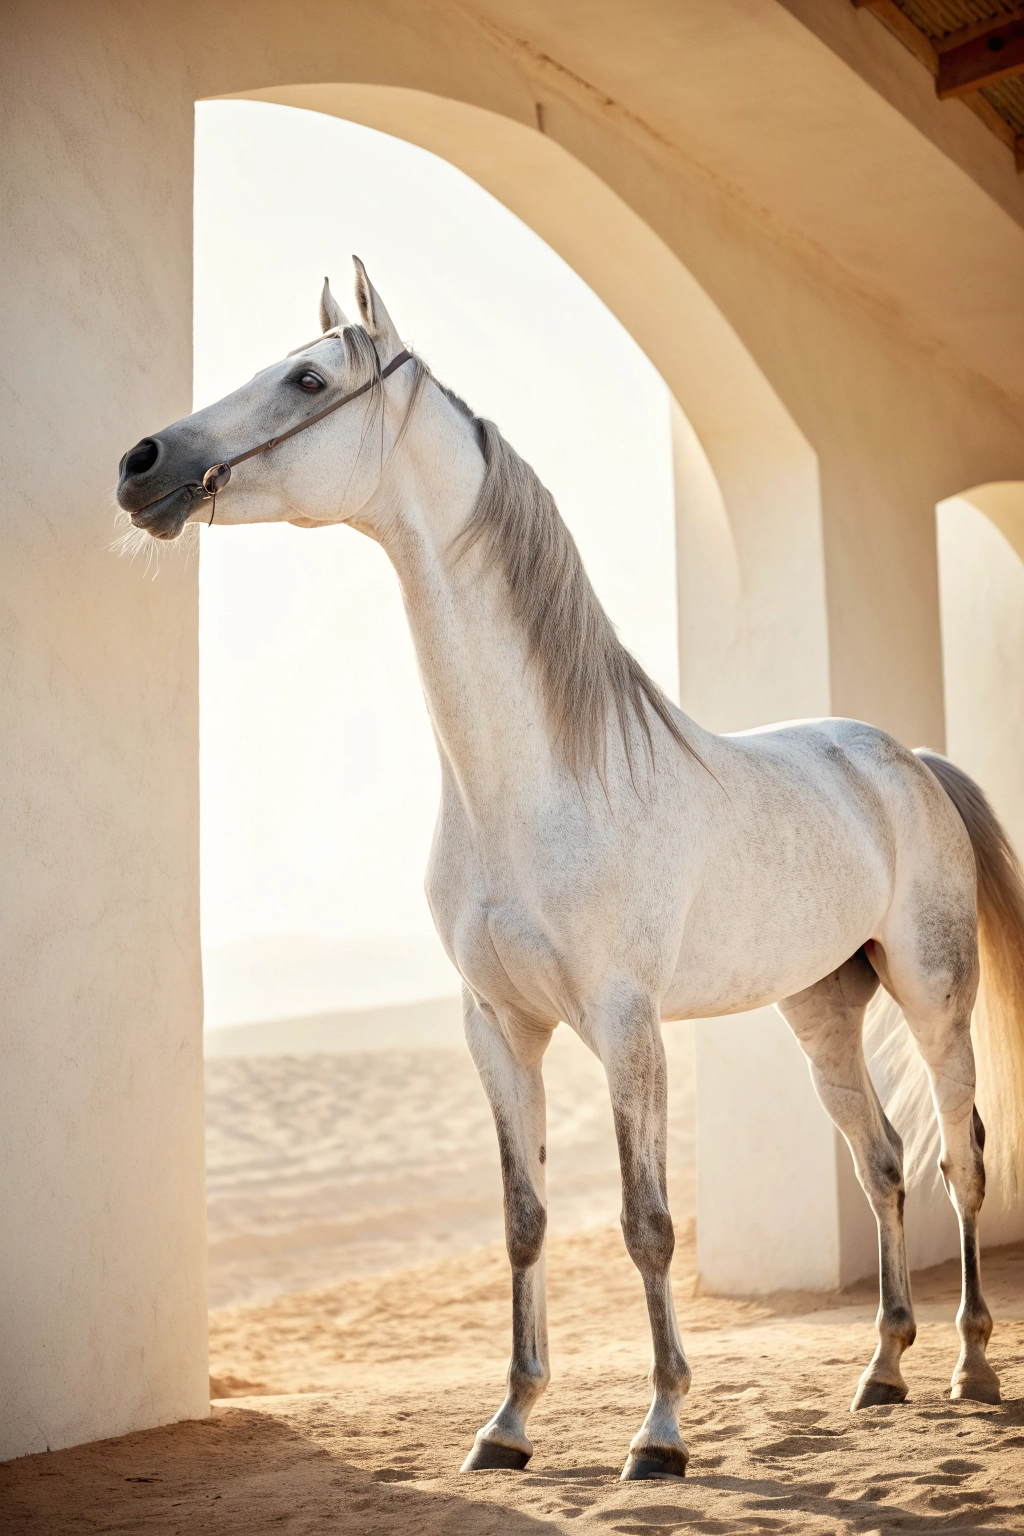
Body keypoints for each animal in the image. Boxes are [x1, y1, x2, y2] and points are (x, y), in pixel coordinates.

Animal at [117, 258, 1024, 1482]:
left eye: (307, 378)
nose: (142, 465)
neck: (534, 779)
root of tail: (905, 759)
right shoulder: (499, 1028)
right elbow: (525, 1221)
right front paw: (507, 1425)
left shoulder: (623, 1024)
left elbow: (647, 1222)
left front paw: (661, 1432)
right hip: (819, 1010)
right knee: (879, 1163)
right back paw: (880, 1371)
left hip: (932, 999)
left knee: (959, 1162)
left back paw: (970, 1366)